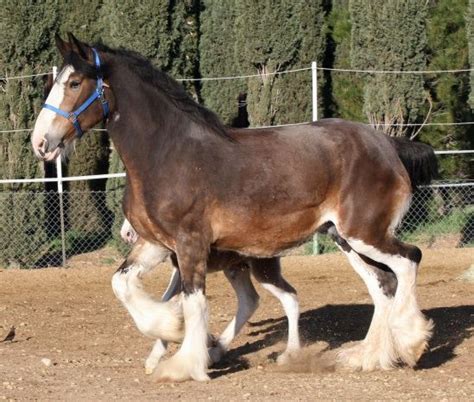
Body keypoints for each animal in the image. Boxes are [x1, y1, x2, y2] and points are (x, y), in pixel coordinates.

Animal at [30, 33, 436, 380]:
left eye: (74, 83)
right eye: (56, 83)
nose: (40, 143)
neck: (167, 154)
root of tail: (386, 143)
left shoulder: (190, 243)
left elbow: (193, 302)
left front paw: (185, 363)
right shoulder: (157, 244)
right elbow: (122, 283)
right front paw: (170, 330)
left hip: (365, 233)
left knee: (409, 260)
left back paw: (411, 343)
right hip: (346, 239)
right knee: (382, 285)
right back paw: (368, 357)